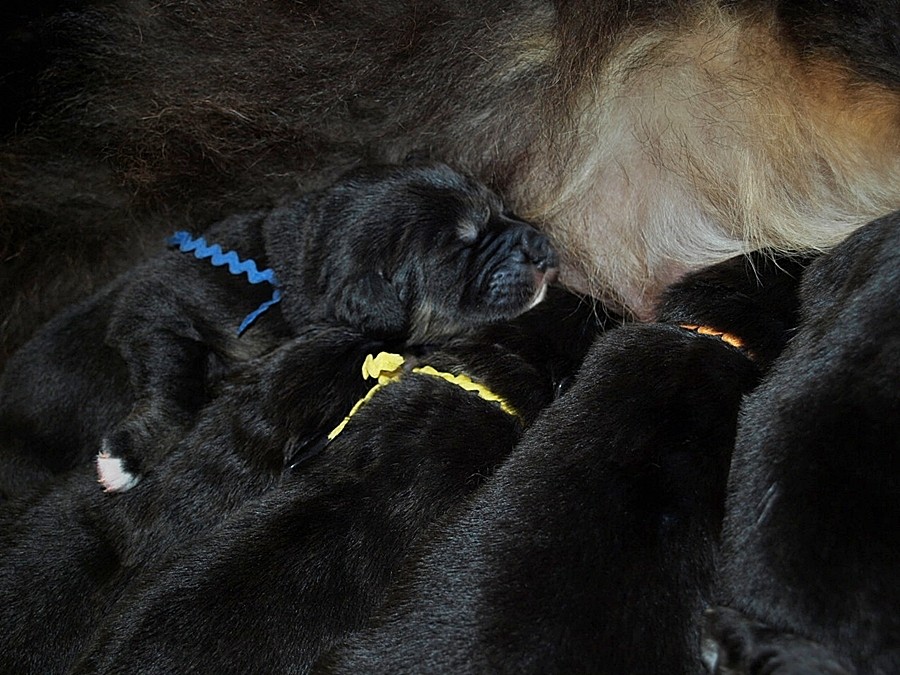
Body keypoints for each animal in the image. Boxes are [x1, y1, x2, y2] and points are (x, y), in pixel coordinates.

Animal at [0, 161, 557, 498]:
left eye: (502, 208)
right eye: (463, 247)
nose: (546, 247)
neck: (289, 271)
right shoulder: (151, 309)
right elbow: (178, 383)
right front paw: (126, 460)